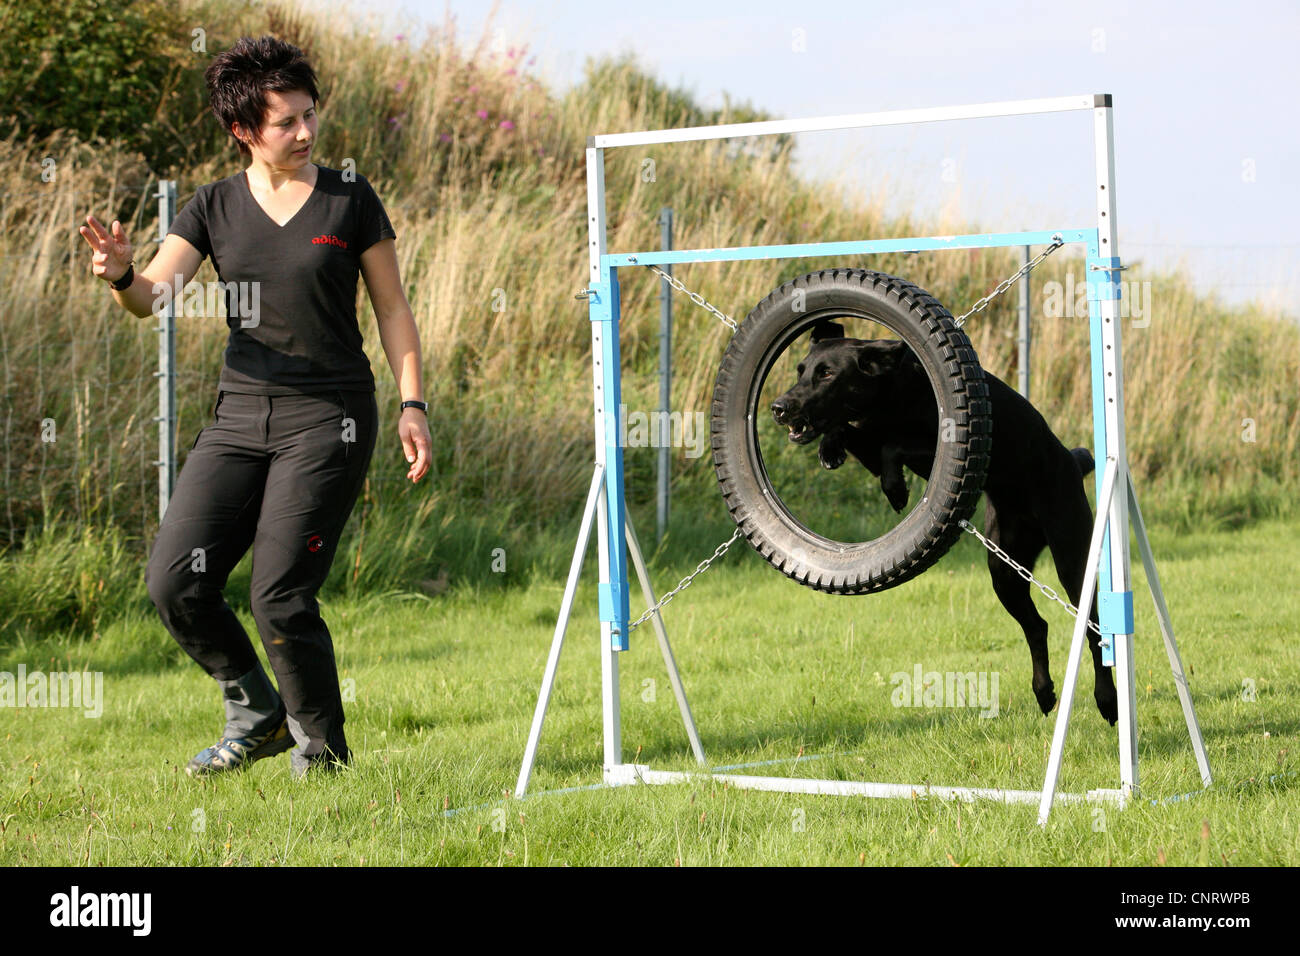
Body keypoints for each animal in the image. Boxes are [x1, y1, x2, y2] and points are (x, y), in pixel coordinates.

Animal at [769, 321, 1118, 723]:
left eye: (827, 374)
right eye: (801, 370)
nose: (778, 407)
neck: (890, 393)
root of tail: (1072, 461)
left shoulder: (938, 445)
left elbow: (893, 446)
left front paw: (895, 489)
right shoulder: (868, 437)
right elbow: (855, 434)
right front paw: (831, 449)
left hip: (1072, 559)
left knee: (1093, 630)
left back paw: (1107, 701)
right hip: (1005, 570)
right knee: (1037, 626)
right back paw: (1044, 693)